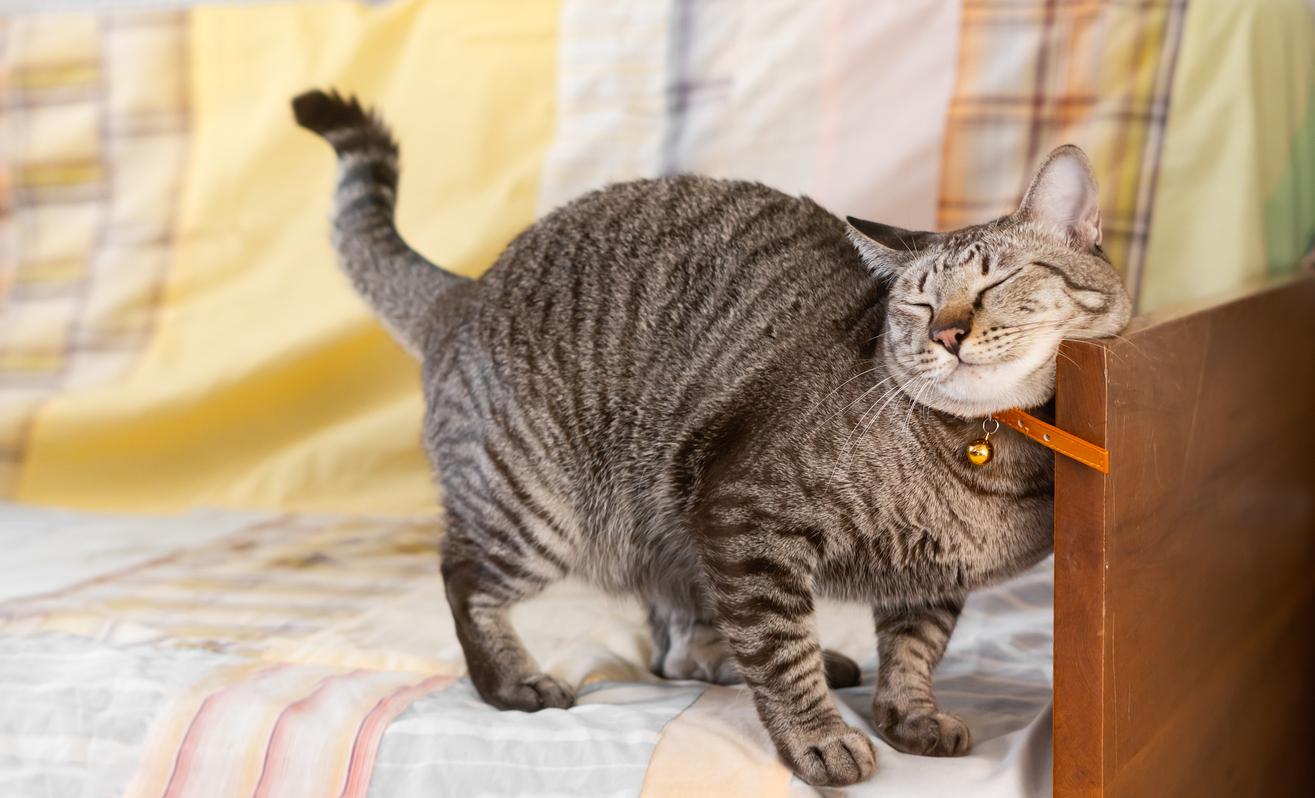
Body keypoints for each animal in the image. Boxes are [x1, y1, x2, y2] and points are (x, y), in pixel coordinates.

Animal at [295, 87, 1130, 788]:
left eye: (993, 285)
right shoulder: (743, 514)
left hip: (669, 527)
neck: (983, 458)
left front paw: (909, 713)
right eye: (918, 307)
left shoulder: (921, 578)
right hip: (536, 513)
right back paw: (512, 681)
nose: (948, 334)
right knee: (465, 579)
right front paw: (818, 738)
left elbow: (912, 650)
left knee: (676, 647)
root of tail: (465, 291)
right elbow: (781, 654)